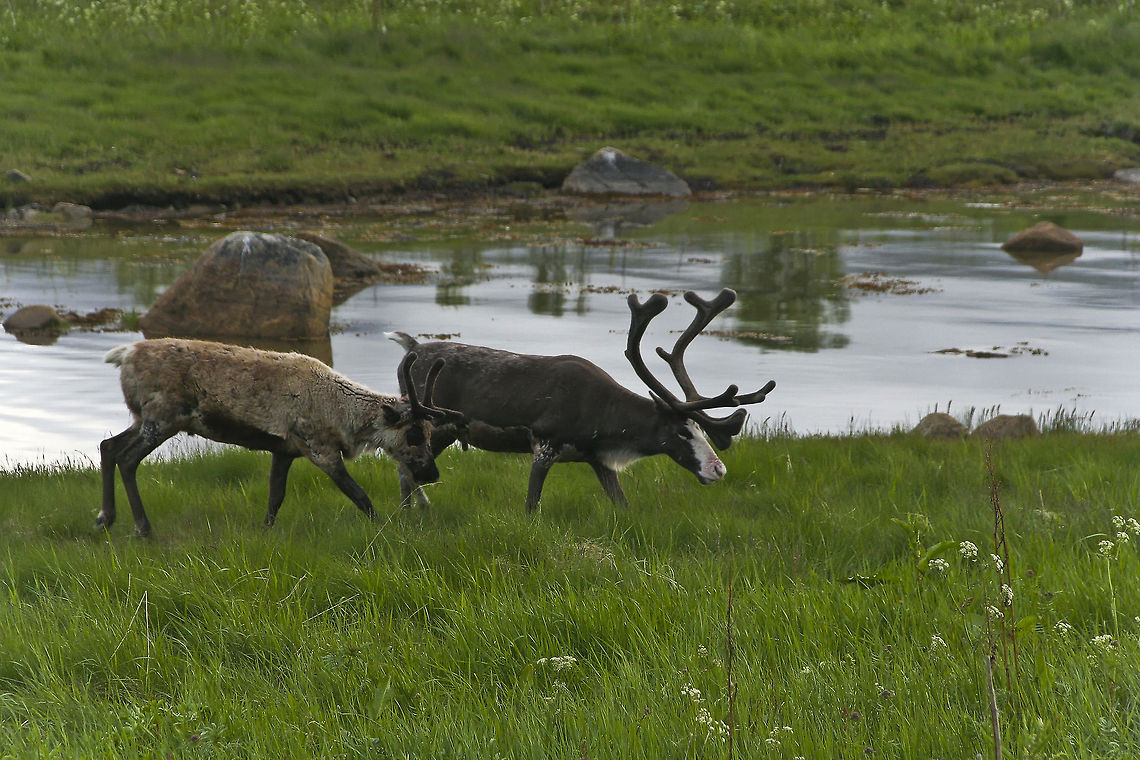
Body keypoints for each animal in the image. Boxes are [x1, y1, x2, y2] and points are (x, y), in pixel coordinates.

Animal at [99, 338, 464, 536]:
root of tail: (125, 354)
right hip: (162, 419)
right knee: (127, 459)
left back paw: (106, 518)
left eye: (430, 431)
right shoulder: (320, 449)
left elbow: (275, 497)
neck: (340, 409)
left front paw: (265, 533)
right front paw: (384, 529)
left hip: (145, 419)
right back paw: (142, 528)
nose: (431, 473)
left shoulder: (284, 450)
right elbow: (361, 497)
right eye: (414, 433)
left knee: (108, 446)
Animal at [387, 288, 776, 511]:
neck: (606, 423)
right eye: (681, 431)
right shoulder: (544, 444)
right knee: (405, 471)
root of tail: (411, 347)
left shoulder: (598, 458)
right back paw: (407, 516)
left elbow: (623, 505)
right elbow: (531, 506)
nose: (718, 469)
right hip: (431, 426)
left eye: (701, 429)